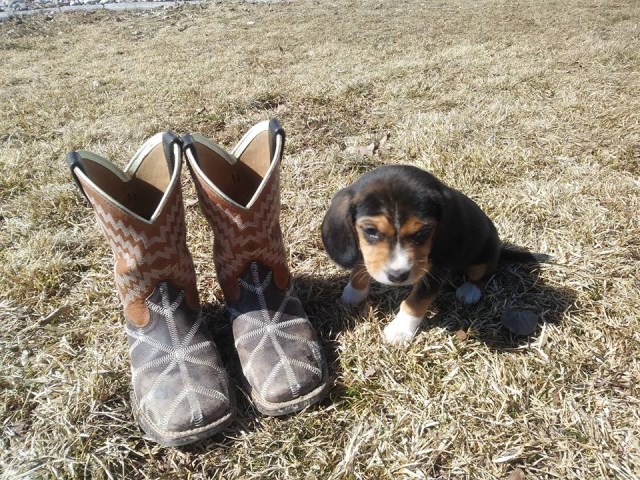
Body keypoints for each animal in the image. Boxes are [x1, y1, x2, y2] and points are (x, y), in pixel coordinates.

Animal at [322, 165, 536, 344]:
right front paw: (354, 293)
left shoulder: (436, 271)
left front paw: (400, 330)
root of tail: (499, 250)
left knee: (484, 274)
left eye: (423, 232)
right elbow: (360, 266)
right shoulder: (366, 251)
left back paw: (470, 291)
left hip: (484, 256)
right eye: (370, 231)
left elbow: (416, 302)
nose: (397, 276)